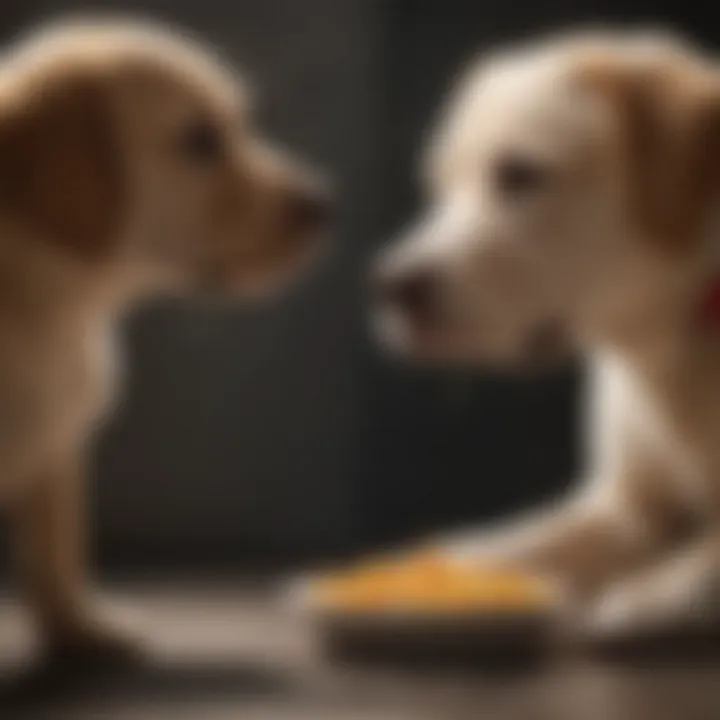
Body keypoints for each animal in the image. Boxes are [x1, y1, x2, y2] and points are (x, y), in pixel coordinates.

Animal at [0, 19, 326, 660]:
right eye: (200, 141)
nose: (325, 205)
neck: (50, 304)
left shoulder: (57, 443)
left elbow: (56, 543)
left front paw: (83, 630)